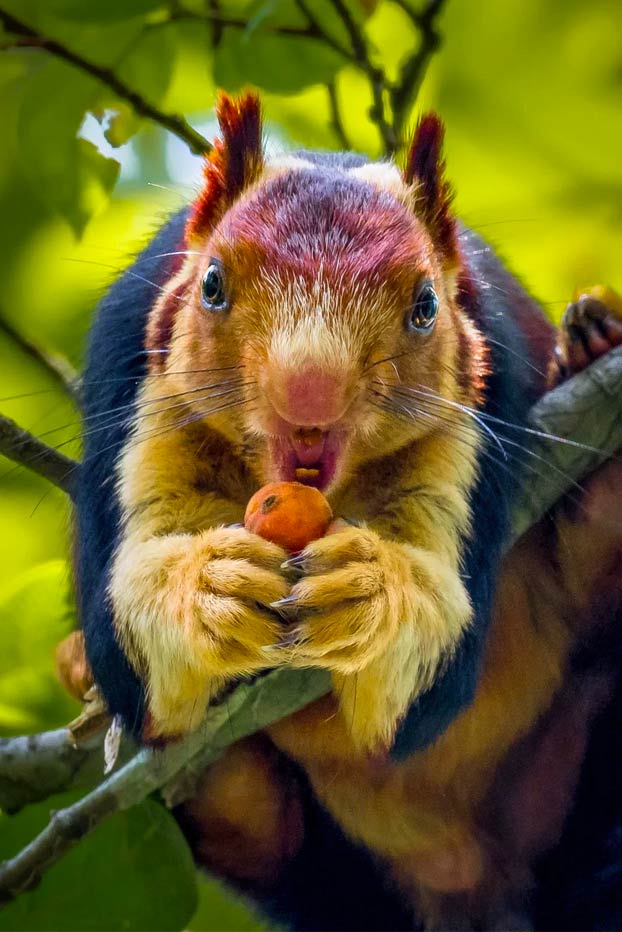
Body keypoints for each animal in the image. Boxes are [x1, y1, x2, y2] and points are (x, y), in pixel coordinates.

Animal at [75, 93, 622, 924]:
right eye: (211, 285)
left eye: (427, 305)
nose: (310, 394)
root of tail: (467, 882)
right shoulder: (130, 373)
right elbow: (128, 651)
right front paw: (204, 589)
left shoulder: (482, 418)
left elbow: (430, 679)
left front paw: (369, 595)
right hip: (320, 872)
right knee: (265, 835)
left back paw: (595, 368)